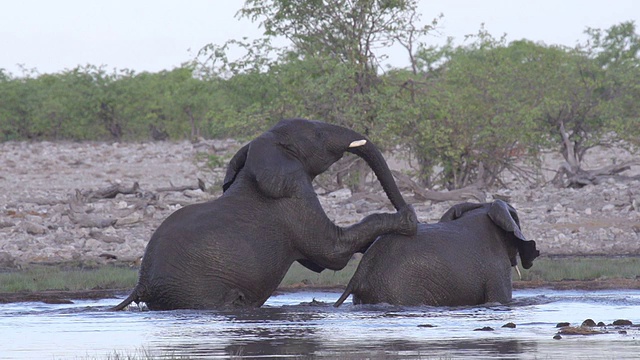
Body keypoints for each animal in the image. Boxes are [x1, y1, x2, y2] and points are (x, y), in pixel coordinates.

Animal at [112, 117, 418, 310]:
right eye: (317, 134)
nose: (406, 207)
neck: (263, 147)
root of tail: (141, 284)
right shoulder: (292, 197)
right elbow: (332, 252)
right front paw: (409, 221)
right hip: (193, 288)